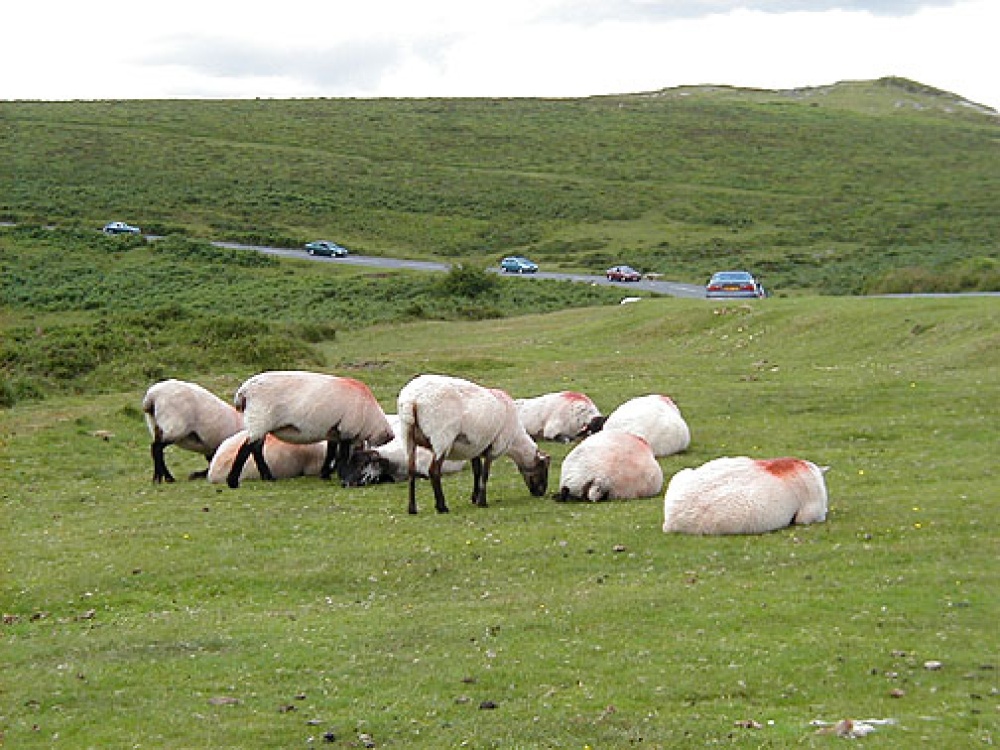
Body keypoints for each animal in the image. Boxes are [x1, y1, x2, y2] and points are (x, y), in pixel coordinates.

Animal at [226, 370, 394, 488]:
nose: (350, 483)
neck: (370, 418)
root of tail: (243, 392)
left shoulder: (333, 431)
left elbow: (331, 453)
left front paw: (325, 474)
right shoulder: (347, 429)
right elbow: (342, 455)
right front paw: (340, 474)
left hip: (260, 424)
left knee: (256, 449)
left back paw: (267, 477)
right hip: (259, 419)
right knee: (246, 449)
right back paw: (233, 481)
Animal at [397, 373, 551, 514]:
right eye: (543, 468)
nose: (541, 493)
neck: (515, 441)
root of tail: (412, 399)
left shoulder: (474, 447)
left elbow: (477, 471)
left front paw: (474, 498)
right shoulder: (494, 447)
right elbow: (485, 473)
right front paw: (482, 502)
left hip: (408, 436)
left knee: (411, 470)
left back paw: (412, 509)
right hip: (441, 437)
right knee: (433, 471)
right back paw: (442, 507)